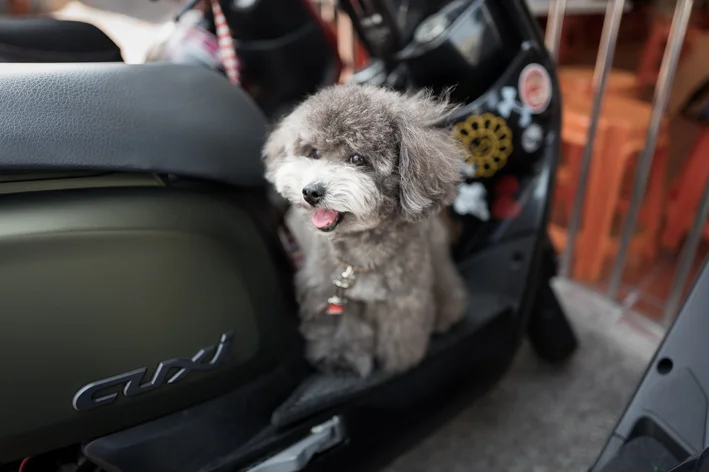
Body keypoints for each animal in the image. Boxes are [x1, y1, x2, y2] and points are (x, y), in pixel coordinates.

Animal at [262, 85, 468, 378]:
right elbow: (341, 329)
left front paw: (399, 362)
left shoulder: (404, 296)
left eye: (357, 158)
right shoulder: (329, 292)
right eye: (314, 153)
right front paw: (340, 359)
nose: (311, 192)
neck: (359, 256)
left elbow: (400, 332)